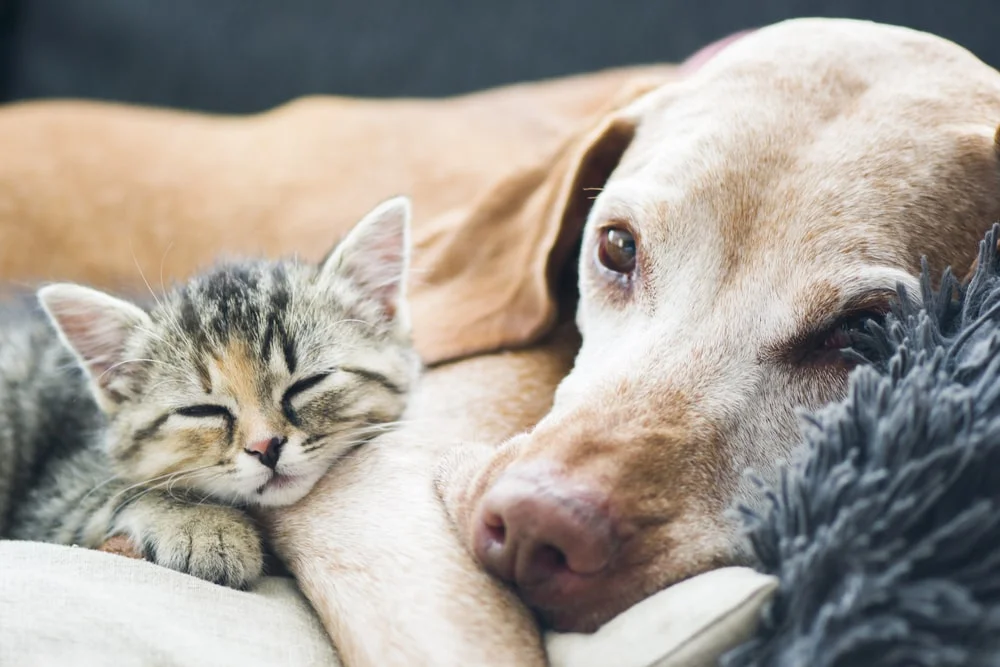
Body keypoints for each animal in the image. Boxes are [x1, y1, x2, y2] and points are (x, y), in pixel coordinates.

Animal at [0, 196, 418, 588]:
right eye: (201, 411)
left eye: (307, 384)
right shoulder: (50, 500)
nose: (266, 447)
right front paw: (205, 527)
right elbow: (126, 490)